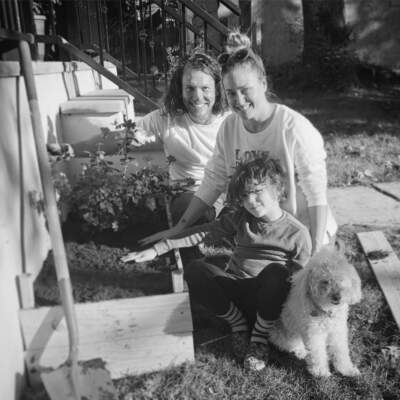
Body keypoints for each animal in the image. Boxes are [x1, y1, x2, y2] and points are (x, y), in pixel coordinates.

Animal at [268, 245, 362, 376]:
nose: (337, 297)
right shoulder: (314, 334)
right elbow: (317, 354)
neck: (326, 310)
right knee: (290, 345)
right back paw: (301, 352)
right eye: (325, 281)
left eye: (342, 280)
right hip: (281, 333)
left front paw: (347, 370)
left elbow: (341, 352)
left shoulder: (337, 331)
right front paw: (321, 372)